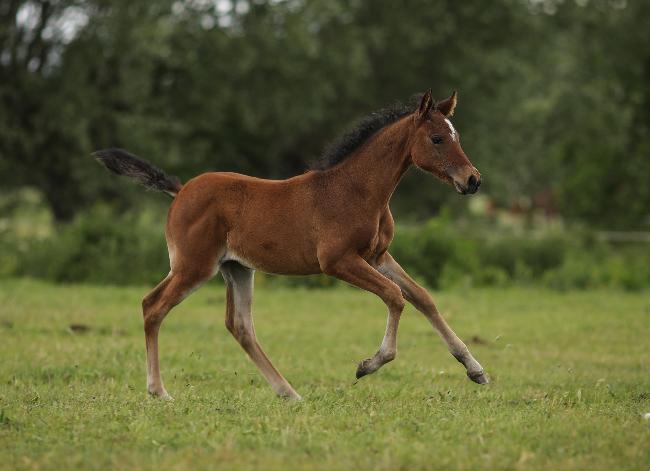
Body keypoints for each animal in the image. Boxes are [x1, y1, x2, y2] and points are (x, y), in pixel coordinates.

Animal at [95, 90, 486, 400]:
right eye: (437, 138)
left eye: (456, 136)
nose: (473, 180)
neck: (357, 190)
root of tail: (180, 191)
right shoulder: (338, 261)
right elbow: (395, 296)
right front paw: (368, 365)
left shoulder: (377, 256)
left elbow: (422, 297)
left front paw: (475, 368)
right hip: (194, 266)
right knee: (153, 306)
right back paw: (158, 390)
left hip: (236, 269)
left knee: (239, 325)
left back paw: (288, 392)